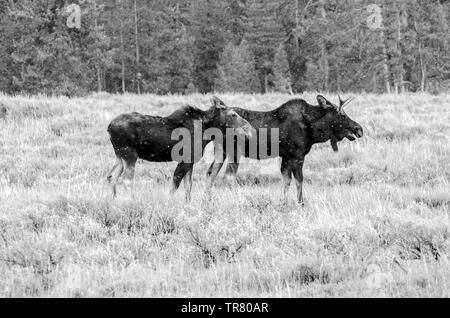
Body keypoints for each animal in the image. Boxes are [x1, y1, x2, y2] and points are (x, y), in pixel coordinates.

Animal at [106, 97, 253, 201]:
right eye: (233, 114)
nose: (249, 130)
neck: (206, 132)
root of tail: (109, 127)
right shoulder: (185, 159)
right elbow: (175, 184)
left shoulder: (191, 161)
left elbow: (188, 186)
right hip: (130, 155)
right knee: (127, 180)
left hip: (119, 156)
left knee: (111, 176)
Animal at [206, 95, 364, 204]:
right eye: (342, 115)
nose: (359, 129)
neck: (313, 129)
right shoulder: (298, 155)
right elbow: (299, 180)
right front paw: (301, 203)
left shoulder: (286, 157)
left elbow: (287, 180)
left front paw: (283, 203)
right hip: (234, 151)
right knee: (228, 176)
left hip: (221, 151)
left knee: (211, 173)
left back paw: (208, 200)